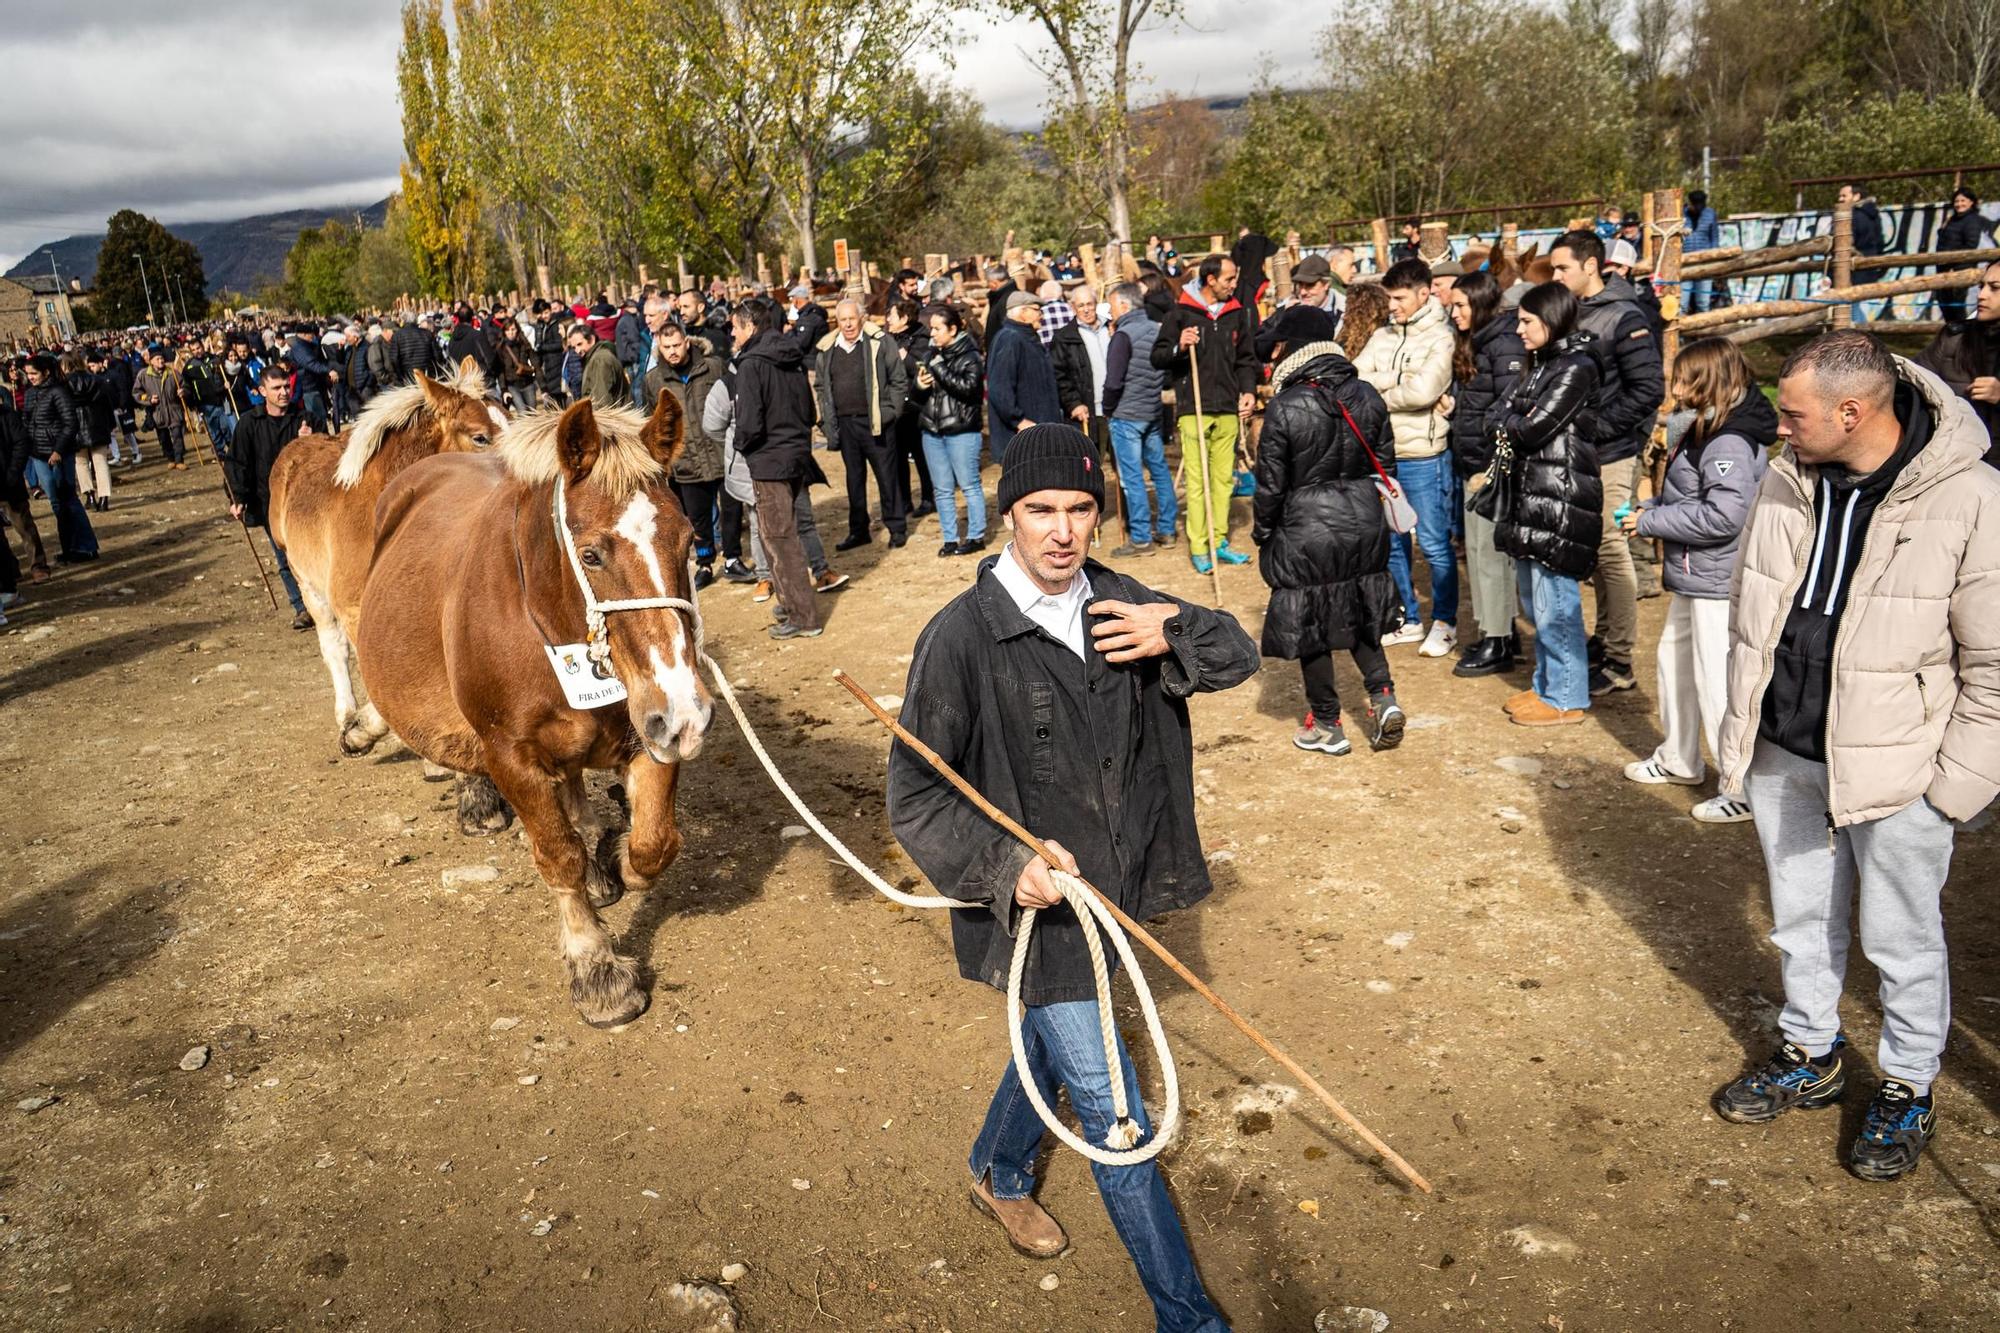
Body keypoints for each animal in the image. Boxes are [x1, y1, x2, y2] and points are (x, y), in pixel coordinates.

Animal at [358, 390, 712, 1020]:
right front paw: (597, 968)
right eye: (591, 555)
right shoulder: (512, 755)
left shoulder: (650, 733)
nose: (687, 716)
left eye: (689, 540)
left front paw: (613, 855)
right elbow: (557, 854)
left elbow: (654, 843)